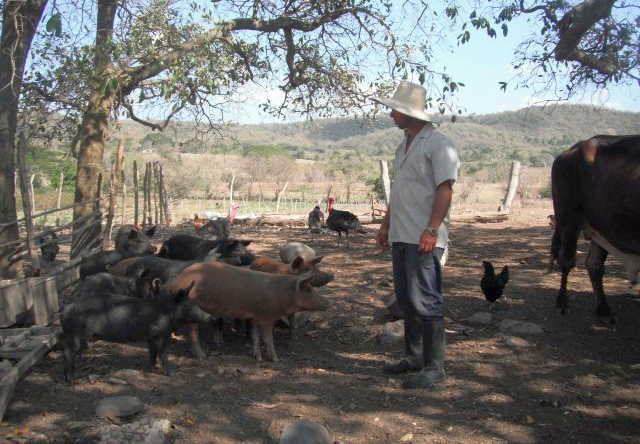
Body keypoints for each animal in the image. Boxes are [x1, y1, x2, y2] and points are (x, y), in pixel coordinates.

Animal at [165, 260, 330, 360]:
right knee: (193, 333)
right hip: (192, 309)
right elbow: (268, 339)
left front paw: (258, 358)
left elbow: (255, 337)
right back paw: (203, 357)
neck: (281, 293)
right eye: (308, 290)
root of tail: (176, 280)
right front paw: (276, 359)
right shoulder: (266, 317)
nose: (328, 302)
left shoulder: (254, 316)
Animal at [552, 134, 640, 320]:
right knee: (567, 260)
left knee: (594, 265)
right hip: (568, 219)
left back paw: (604, 309)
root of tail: (571, 150)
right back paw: (562, 303)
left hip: (601, 227)